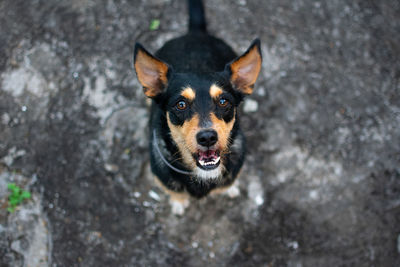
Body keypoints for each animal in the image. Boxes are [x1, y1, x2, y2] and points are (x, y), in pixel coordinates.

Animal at [134, 0, 262, 214]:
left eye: (224, 101)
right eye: (181, 104)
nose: (207, 137)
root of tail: (195, 33)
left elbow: (228, 183)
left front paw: (230, 188)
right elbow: (176, 194)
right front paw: (178, 204)